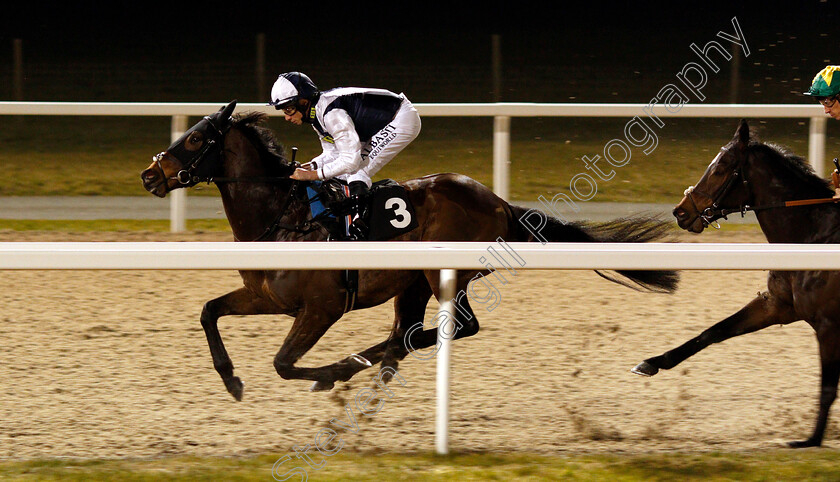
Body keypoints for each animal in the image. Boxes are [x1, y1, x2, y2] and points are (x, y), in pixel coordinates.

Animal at [138, 100, 676, 400]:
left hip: (444, 273)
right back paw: (371, 363)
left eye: (197, 139)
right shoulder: (267, 298)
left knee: (453, 328)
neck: (283, 217)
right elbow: (209, 311)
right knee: (409, 333)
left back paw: (355, 366)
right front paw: (231, 379)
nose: (149, 174)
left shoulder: (323, 306)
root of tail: (498, 202)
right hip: (411, 282)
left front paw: (330, 371)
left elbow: (283, 363)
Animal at [636, 119, 840, 448]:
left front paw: (811, 440)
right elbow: (714, 331)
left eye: (720, 167)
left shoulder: (828, 324)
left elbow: (827, 389)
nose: (681, 211)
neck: (813, 237)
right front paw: (653, 361)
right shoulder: (778, 305)